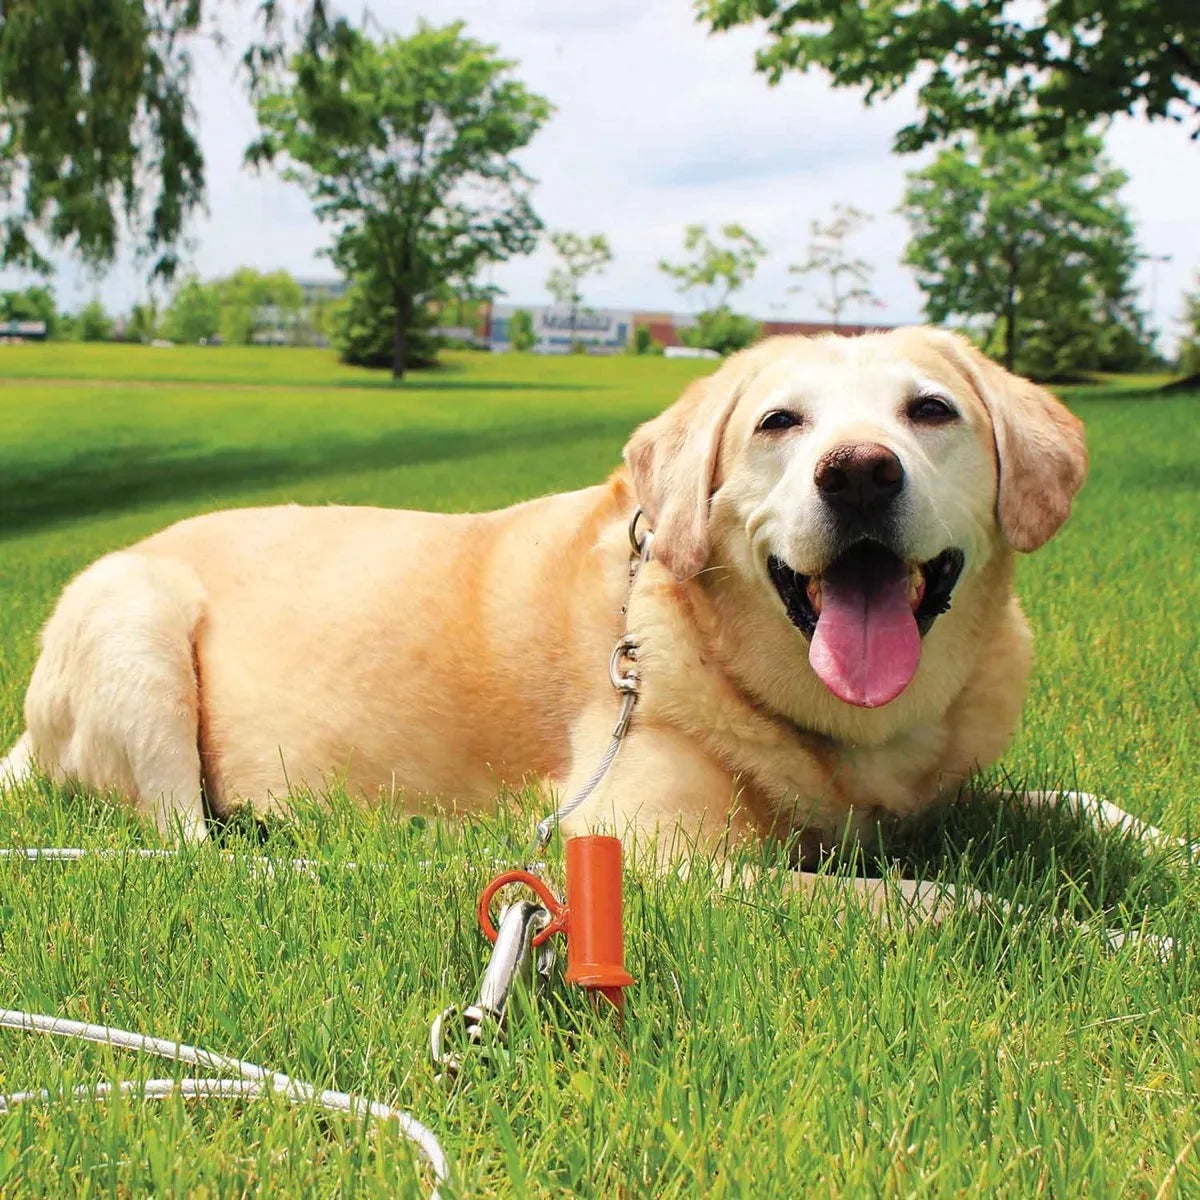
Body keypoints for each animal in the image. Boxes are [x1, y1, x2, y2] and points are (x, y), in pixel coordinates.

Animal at [0, 327, 1185, 922]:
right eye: (779, 423)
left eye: (931, 410)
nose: (857, 472)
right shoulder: (642, 848)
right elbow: (951, 903)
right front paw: (1110, 934)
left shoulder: (933, 793)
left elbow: (1080, 806)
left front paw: (1172, 850)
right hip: (135, 619)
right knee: (189, 849)